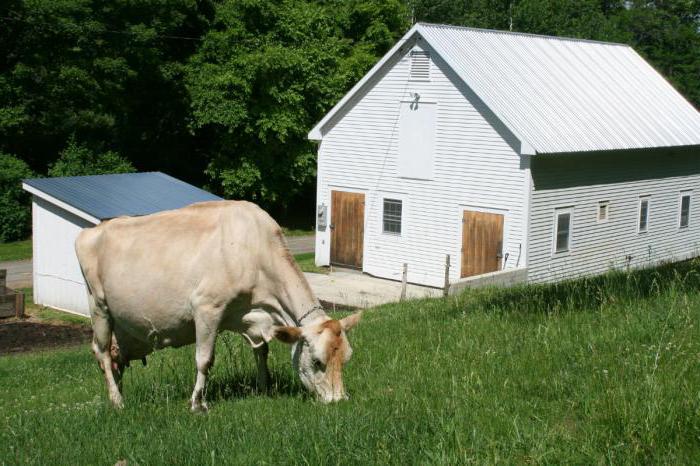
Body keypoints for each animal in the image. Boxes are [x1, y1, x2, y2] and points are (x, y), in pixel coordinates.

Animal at [74, 200, 364, 412]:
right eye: (317, 361)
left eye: (346, 359)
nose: (338, 401)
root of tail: (90, 231)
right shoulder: (206, 307)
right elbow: (204, 360)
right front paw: (197, 403)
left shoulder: (251, 317)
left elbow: (262, 351)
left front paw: (264, 387)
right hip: (99, 306)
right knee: (102, 351)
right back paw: (117, 401)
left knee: (115, 359)